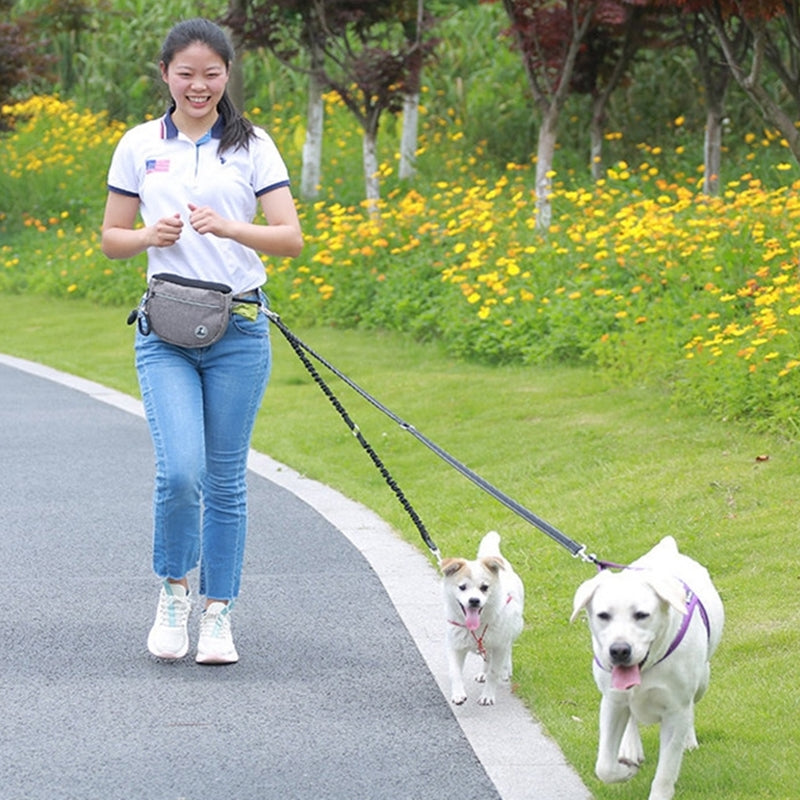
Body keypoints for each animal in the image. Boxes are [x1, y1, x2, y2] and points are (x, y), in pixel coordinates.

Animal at [438, 532, 524, 708]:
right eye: (462, 587)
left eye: (484, 587)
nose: (474, 601)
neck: (476, 627)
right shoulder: (455, 646)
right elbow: (455, 672)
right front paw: (458, 694)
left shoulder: (499, 645)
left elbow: (494, 672)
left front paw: (488, 695)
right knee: (487, 657)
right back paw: (483, 673)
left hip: (512, 630)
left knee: (507, 650)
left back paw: (506, 669)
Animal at [568, 536, 724, 800]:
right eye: (603, 615)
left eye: (641, 615)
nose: (619, 650)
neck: (647, 667)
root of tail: (666, 550)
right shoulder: (612, 700)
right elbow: (604, 766)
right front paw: (626, 769)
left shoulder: (675, 710)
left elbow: (665, 772)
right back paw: (630, 749)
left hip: (703, 679)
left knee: (692, 706)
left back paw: (689, 739)